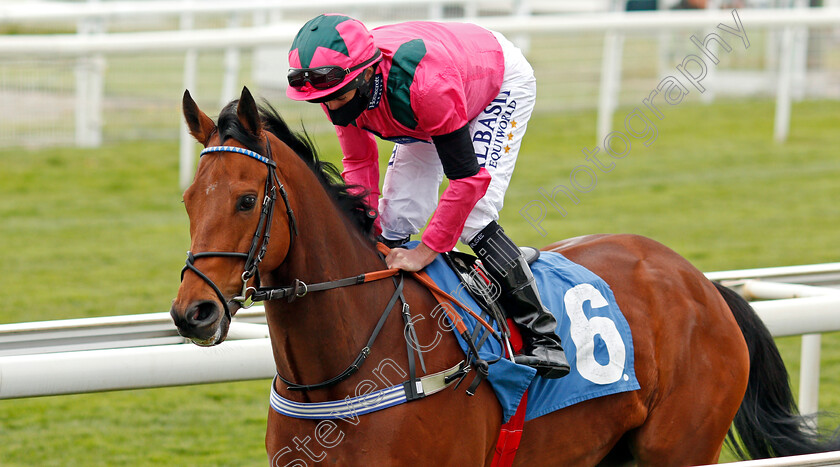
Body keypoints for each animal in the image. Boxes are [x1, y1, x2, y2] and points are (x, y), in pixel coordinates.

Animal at [171, 87, 840, 464]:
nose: (192, 313)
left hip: (680, 448)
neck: (339, 374)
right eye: (188, 199)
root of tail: (705, 285)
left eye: (246, 201)